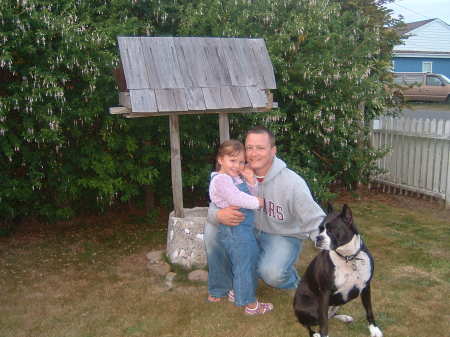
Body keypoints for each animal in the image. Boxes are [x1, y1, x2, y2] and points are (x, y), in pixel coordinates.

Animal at [296, 203, 384, 336]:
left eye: (331, 230)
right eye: (320, 229)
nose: (318, 238)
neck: (348, 257)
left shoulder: (366, 287)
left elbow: (369, 309)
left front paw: (374, 329)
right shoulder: (325, 292)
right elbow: (323, 323)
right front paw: (324, 334)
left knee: (330, 315)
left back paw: (344, 317)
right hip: (310, 306)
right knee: (309, 323)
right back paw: (315, 333)